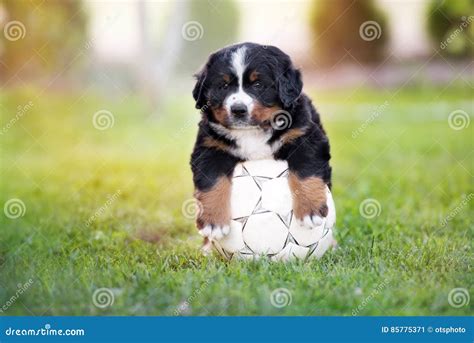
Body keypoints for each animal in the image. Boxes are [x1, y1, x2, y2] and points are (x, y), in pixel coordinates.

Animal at [188, 42, 330, 242]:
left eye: (258, 84)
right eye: (223, 86)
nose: (238, 110)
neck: (252, 132)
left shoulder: (305, 138)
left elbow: (306, 172)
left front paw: (311, 210)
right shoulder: (210, 149)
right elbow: (212, 183)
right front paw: (213, 223)